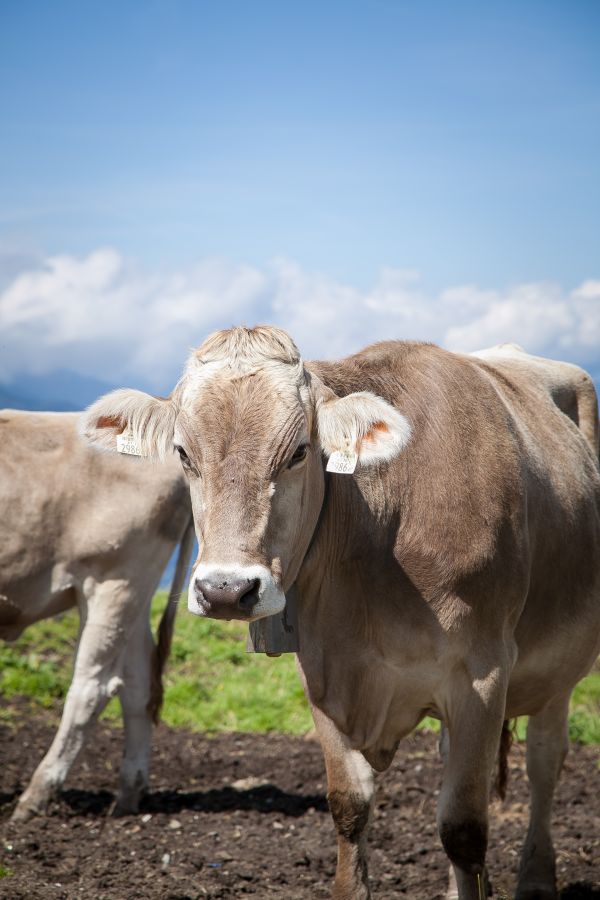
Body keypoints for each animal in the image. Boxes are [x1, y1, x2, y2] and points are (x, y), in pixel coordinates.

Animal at [81, 330, 600, 900]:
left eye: (299, 452)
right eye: (182, 453)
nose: (226, 590)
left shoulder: (482, 677)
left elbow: (464, 828)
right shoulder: (324, 675)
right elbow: (349, 808)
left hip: (559, 670)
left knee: (545, 762)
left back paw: (536, 879)